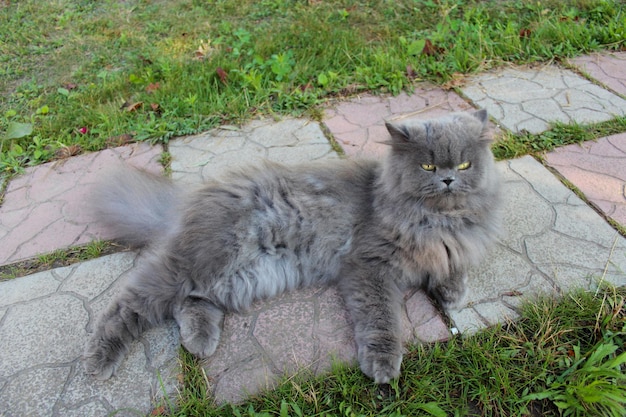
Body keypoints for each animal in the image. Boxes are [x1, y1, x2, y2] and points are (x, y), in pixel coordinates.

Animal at [85, 109, 500, 384]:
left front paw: (451, 292)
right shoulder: (368, 267)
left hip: (237, 279)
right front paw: (384, 365)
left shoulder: (449, 249)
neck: (436, 220)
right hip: (202, 262)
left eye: (464, 165)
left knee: (192, 302)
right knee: (130, 304)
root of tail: (187, 199)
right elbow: (381, 320)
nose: (448, 180)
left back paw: (199, 342)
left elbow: (452, 267)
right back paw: (98, 360)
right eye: (428, 167)